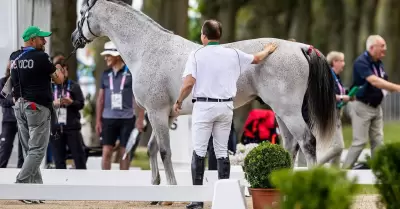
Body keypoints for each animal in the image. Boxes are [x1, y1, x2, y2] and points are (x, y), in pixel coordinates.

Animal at [71, 0, 334, 189]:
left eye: (82, 14)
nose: (74, 39)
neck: (148, 49)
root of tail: (299, 47)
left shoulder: (156, 112)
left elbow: (165, 151)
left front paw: (172, 187)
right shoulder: (165, 114)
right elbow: (155, 148)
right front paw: (155, 186)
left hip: (288, 111)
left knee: (307, 142)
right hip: (280, 112)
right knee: (290, 145)